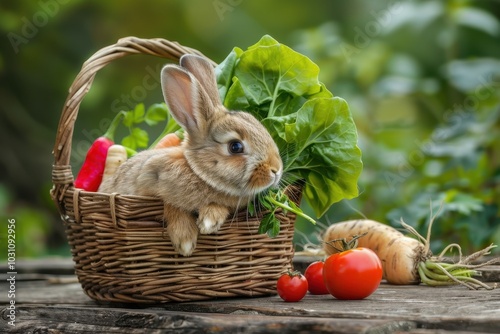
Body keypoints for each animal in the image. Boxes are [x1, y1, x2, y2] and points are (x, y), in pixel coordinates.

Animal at [98, 54, 282, 258]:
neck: (200, 174)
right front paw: (185, 241)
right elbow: (172, 206)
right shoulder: (149, 184)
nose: (276, 170)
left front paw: (209, 222)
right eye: (235, 147)